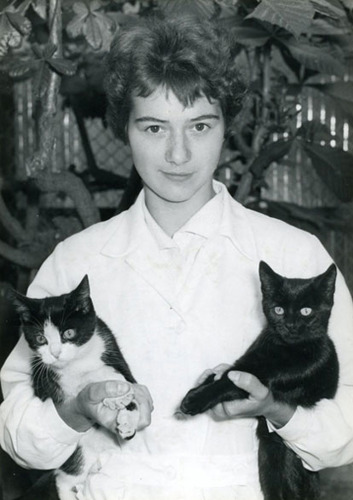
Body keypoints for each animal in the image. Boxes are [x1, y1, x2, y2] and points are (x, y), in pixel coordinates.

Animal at [11, 276, 138, 500]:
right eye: (40, 338)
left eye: (69, 333)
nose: (55, 353)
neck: (79, 360)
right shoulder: (49, 381)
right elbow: (85, 379)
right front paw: (112, 391)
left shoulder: (110, 346)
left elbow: (127, 378)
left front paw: (127, 418)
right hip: (77, 451)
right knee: (64, 478)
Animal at [180, 260, 336, 500]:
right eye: (278, 310)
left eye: (306, 311)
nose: (290, 325)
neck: (283, 349)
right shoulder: (248, 360)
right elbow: (225, 374)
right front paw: (200, 386)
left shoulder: (282, 372)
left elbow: (230, 382)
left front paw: (195, 399)